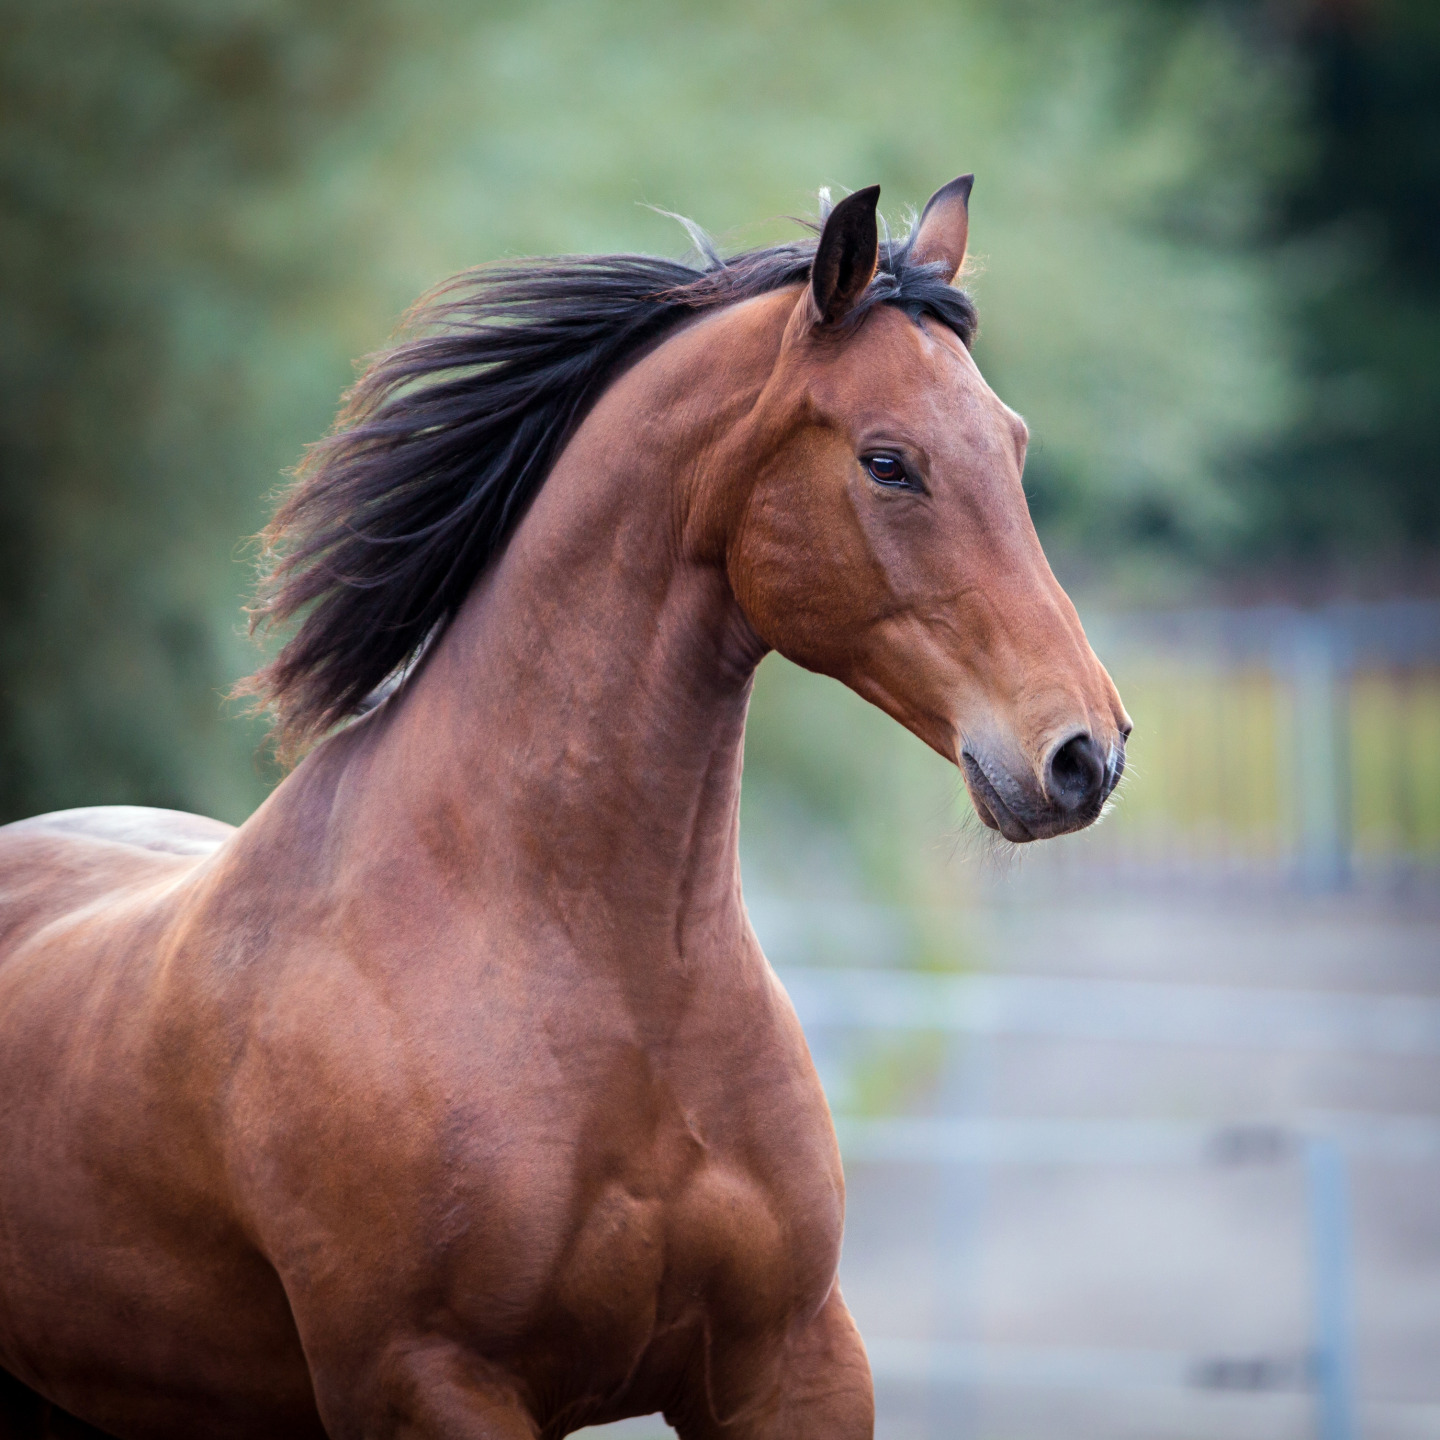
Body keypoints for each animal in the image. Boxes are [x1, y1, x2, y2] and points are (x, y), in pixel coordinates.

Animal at [0, 180, 1123, 1440]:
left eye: (1012, 442)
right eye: (889, 462)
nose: (1084, 755)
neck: (610, 983)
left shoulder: (793, 1360)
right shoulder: (432, 1382)